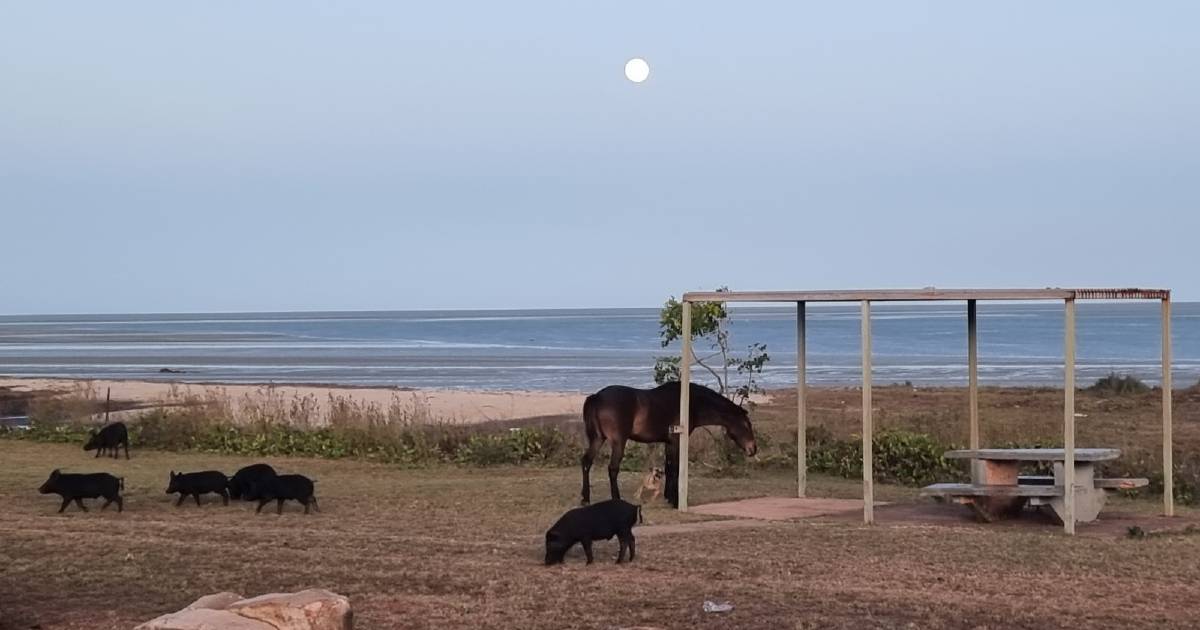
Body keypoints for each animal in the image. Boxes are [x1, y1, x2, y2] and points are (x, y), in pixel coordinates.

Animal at [583, 379, 758, 506]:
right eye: (746, 425)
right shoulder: (676, 441)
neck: (691, 403)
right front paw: (675, 501)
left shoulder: (668, 442)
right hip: (618, 441)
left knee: (586, 462)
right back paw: (616, 499)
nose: (753, 448)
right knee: (613, 468)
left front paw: (668, 496)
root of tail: (597, 397)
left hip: (597, 439)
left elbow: (668, 467)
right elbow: (675, 468)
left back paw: (585, 499)